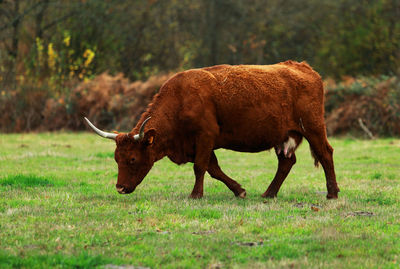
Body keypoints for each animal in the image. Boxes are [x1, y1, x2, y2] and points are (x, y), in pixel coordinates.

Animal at [86, 61, 340, 199]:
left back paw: (332, 193)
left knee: (325, 153)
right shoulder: (199, 144)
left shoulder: (205, 136)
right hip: (283, 135)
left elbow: (200, 167)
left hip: (314, 127)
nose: (120, 188)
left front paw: (195, 194)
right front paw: (239, 190)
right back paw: (269, 193)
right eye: (116, 158)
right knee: (286, 162)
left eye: (132, 159)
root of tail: (302, 67)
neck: (181, 98)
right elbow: (213, 169)